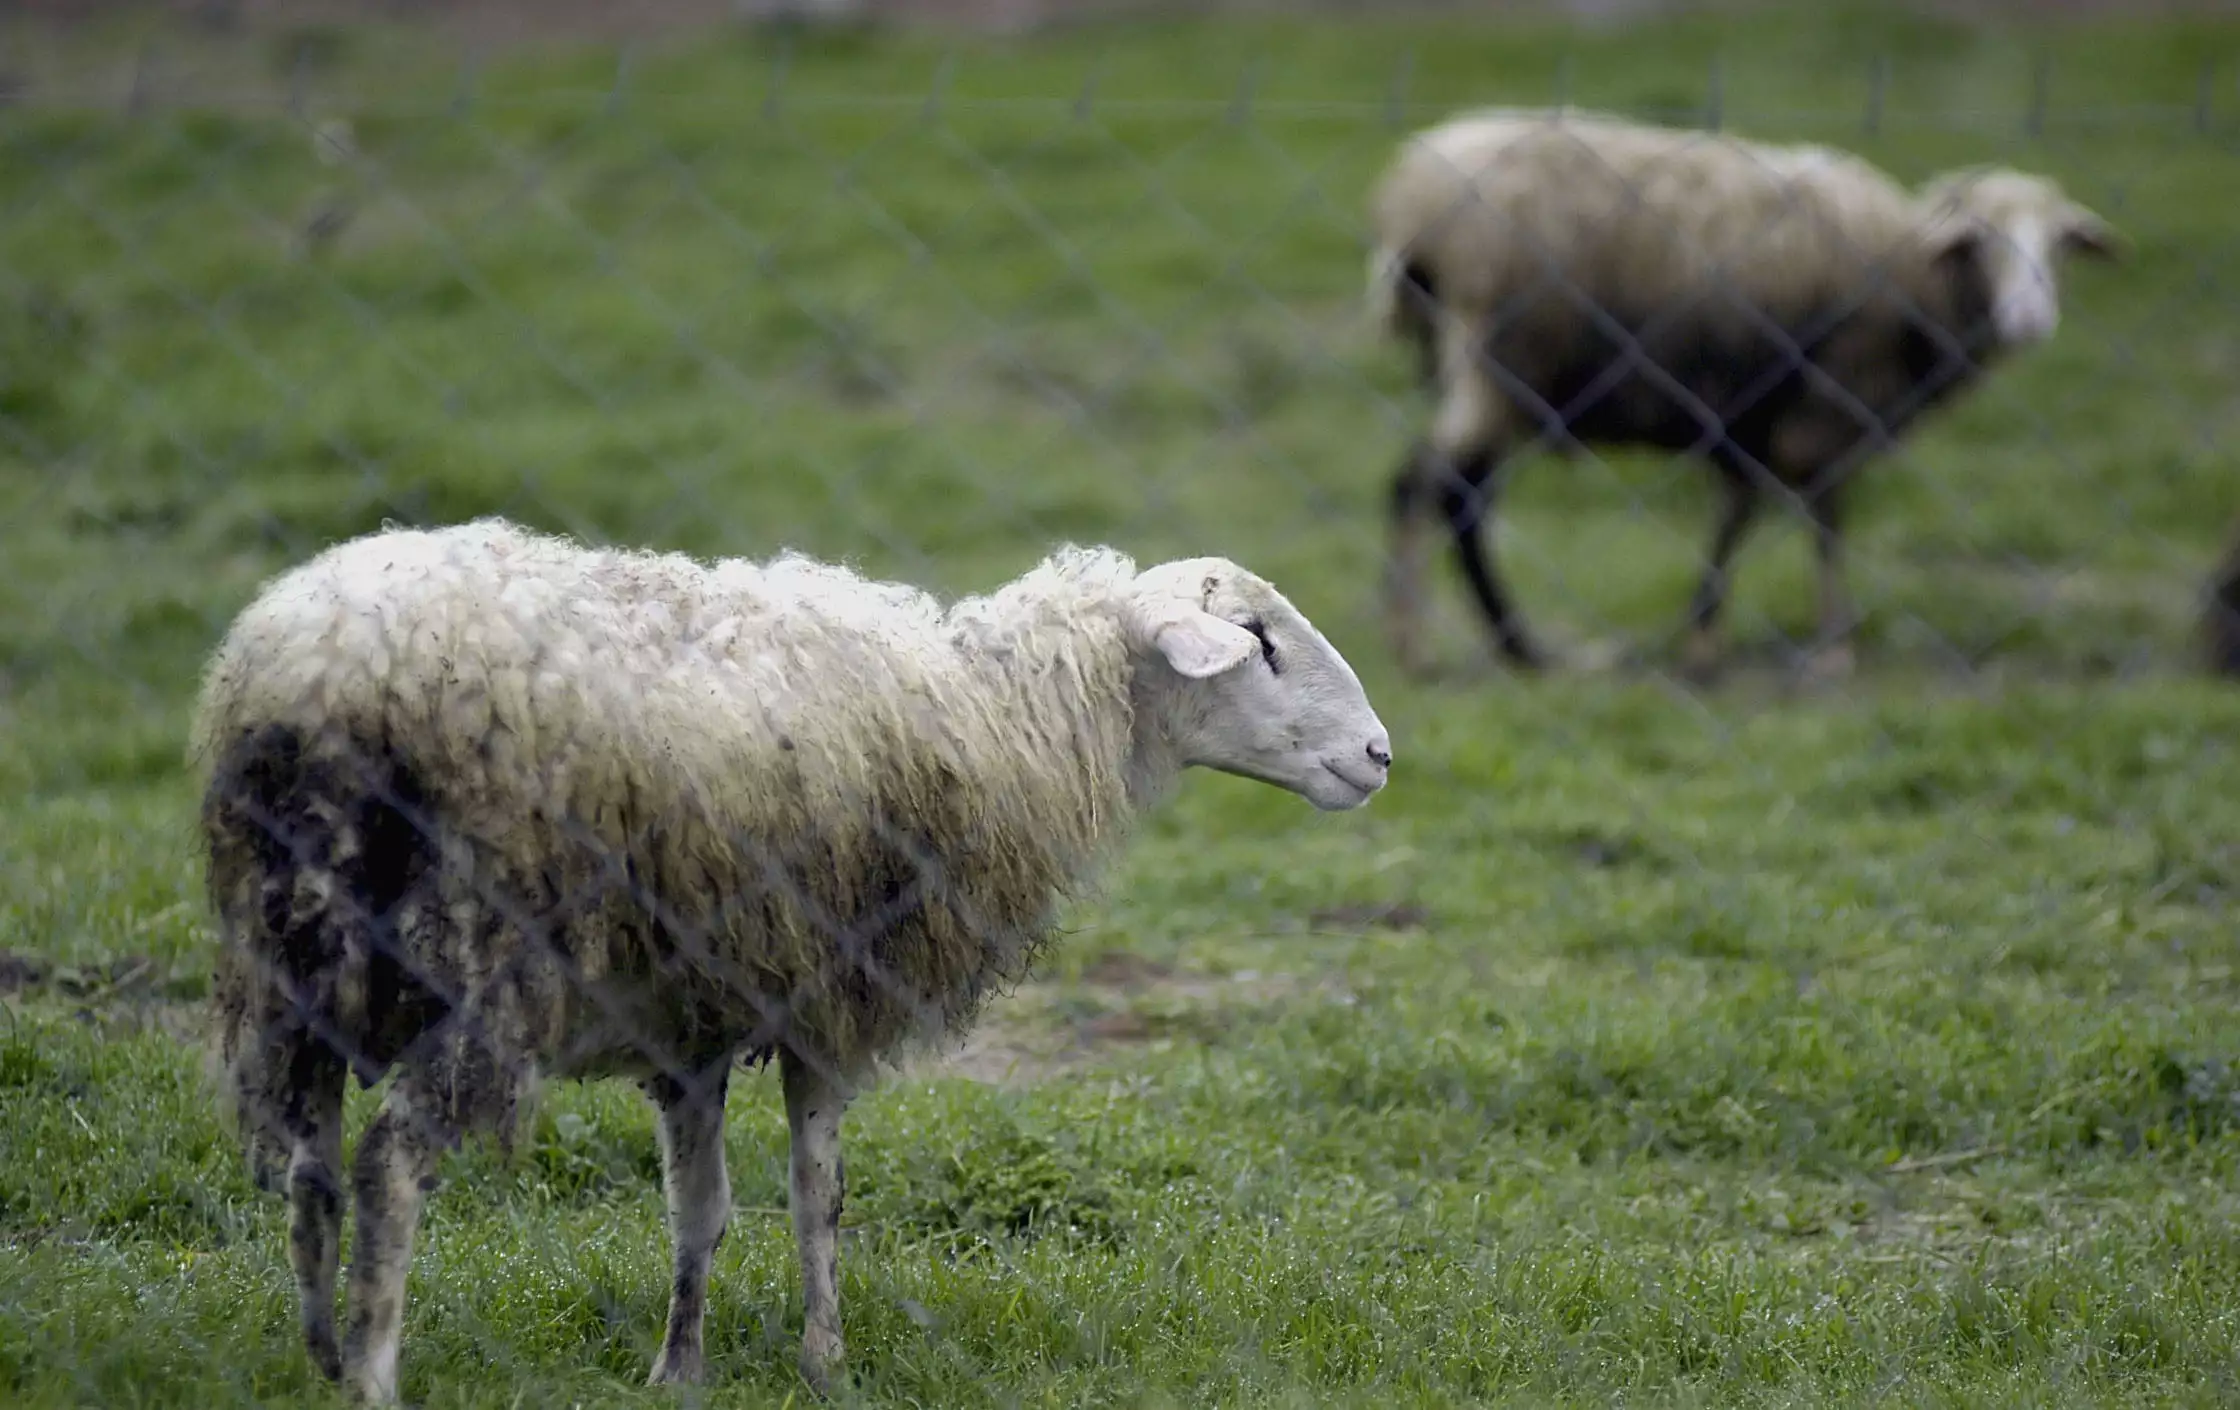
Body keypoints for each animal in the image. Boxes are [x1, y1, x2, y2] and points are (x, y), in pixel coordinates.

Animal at [192, 517, 1388, 1398]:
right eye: (1259, 639)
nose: (1380, 754)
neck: (1009, 721)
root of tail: (320, 668)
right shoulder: (832, 994)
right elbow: (820, 1195)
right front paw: (827, 1364)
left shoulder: (692, 1016)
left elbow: (700, 1209)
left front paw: (678, 1369)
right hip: (480, 962)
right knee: (387, 1170)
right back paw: (372, 1379)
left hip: (289, 964)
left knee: (308, 1167)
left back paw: (322, 1353)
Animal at [1361, 107, 2114, 676]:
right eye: (1981, 242)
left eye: (2058, 245)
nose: (2030, 319)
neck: (1913, 274)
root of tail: (1410, 201)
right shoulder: (1828, 406)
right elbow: (1825, 520)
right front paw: (1834, 645)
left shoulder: (1749, 414)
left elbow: (1736, 516)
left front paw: (1704, 639)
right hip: (1498, 361)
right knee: (1430, 486)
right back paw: (1428, 644)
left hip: (1483, 370)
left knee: (1454, 494)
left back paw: (1500, 644)